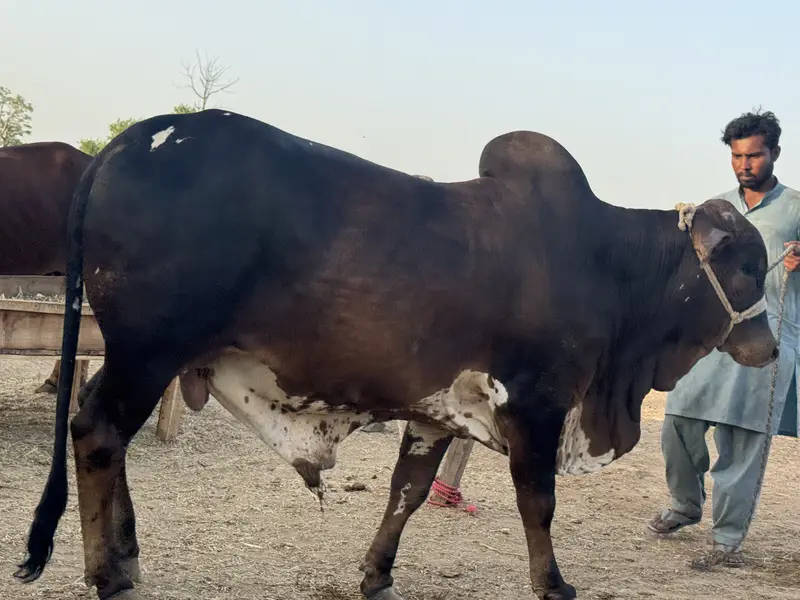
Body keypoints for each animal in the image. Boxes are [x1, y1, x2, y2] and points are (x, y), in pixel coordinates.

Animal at [15, 109, 778, 600]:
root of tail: (126, 142)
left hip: (150, 356)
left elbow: (407, 491)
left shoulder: (436, 409)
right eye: (746, 268)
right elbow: (538, 501)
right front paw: (553, 583)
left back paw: (128, 557)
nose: (769, 346)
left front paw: (376, 573)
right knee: (97, 432)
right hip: (146, 351)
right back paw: (109, 573)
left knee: (105, 437)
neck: (609, 266)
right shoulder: (536, 402)